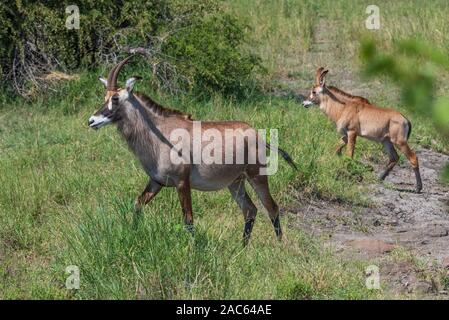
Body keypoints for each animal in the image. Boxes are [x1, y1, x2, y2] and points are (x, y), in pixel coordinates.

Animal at [87, 55, 298, 245]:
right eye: (105, 97)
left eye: (115, 98)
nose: (92, 120)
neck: (159, 132)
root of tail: (257, 135)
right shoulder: (156, 181)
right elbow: (137, 204)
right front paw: (133, 233)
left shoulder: (182, 182)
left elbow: (188, 220)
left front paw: (193, 249)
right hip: (235, 183)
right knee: (250, 210)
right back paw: (242, 248)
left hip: (257, 176)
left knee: (271, 207)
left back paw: (279, 246)